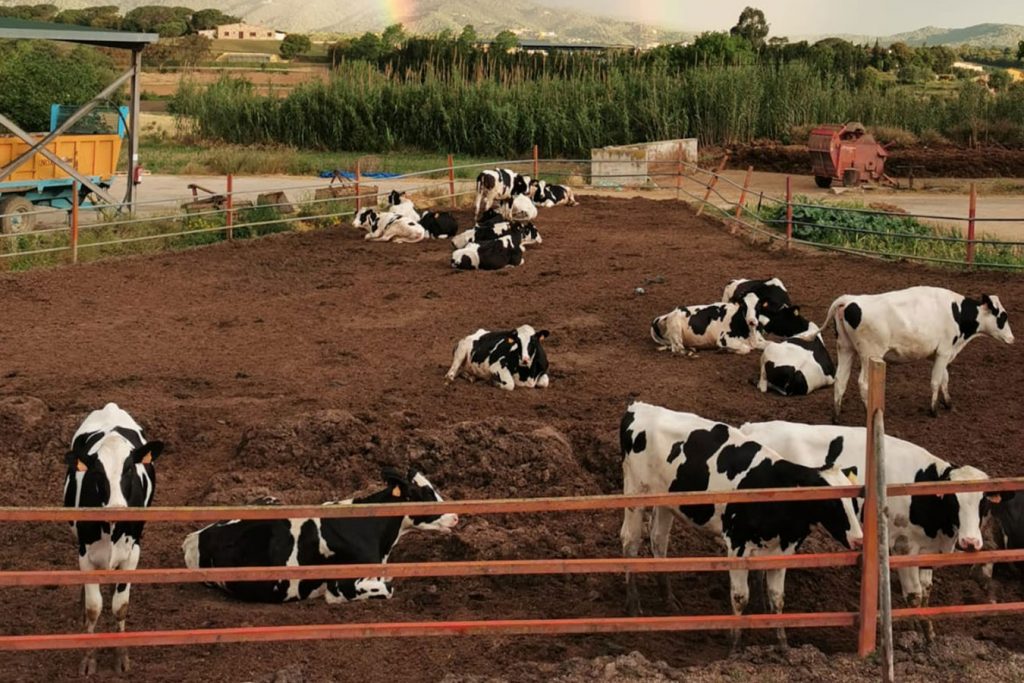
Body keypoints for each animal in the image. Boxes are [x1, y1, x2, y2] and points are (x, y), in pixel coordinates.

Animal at [62, 403, 164, 675]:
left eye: (129, 468)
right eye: (98, 472)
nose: (117, 507)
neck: (111, 528)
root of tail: (110, 407)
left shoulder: (132, 553)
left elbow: (120, 606)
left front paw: (121, 657)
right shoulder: (85, 554)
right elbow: (93, 606)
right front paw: (88, 659)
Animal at [618, 403, 860, 651]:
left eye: (854, 498)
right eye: (831, 501)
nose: (858, 539)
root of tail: (640, 407)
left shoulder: (781, 552)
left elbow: (777, 599)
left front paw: (783, 646)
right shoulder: (737, 545)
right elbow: (740, 597)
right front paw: (735, 647)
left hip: (667, 502)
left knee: (658, 540)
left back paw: (668, 600)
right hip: (635, 493)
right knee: (630, 541)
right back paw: (634, 605)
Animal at [737, 421, 1007, 643]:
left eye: (983, 503)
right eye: (953, 501)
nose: (970, 542)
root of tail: (752, 428)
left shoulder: (929, 550)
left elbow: (926, 593)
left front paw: (929, 633)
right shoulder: (904, 547)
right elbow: (914, 595)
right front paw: (916, 637)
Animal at [823, 286, 1015, 419]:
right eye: (1003, 316)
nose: (1012, 338)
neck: (958, 313)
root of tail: (849, 300)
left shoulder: (941, 354)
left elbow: (945, 379)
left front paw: (949, 403)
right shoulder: (944, 351)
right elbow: (936, 381)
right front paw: (934, 411)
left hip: (845, 348)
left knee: (840, 380)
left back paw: (836, 415)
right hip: (870, 354)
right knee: (863, 383)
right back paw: (867, 410)